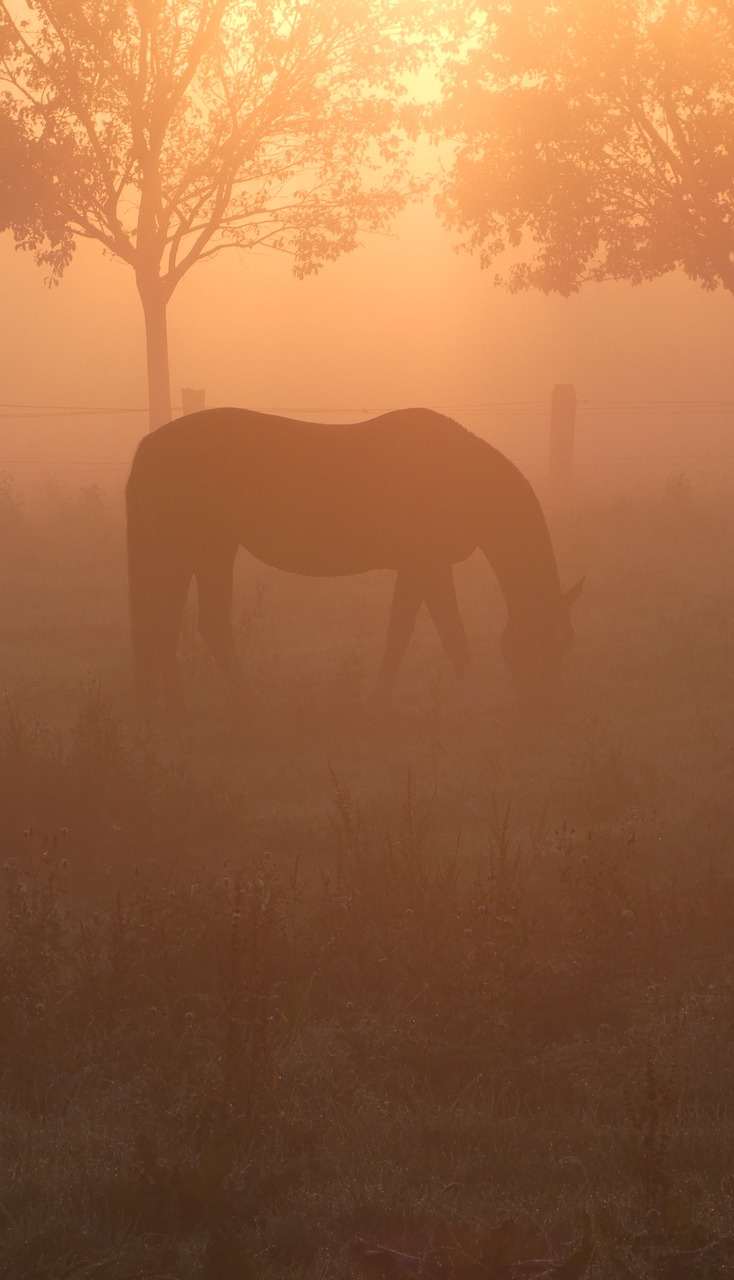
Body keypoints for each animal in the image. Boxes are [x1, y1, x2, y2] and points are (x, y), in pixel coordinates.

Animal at [127, 407, 584, 716]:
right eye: (552, 643)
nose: (547, 708)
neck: (458, 474)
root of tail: (149, 445)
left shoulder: (416, 569)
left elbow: (400, 632)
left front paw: (378, 702)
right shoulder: (431, 567)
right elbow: (452, 635)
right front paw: (468, 706)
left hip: (188, 554)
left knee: (172, 624)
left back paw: (179, 706)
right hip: (203, 551)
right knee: (201, 624)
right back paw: (241, 704)